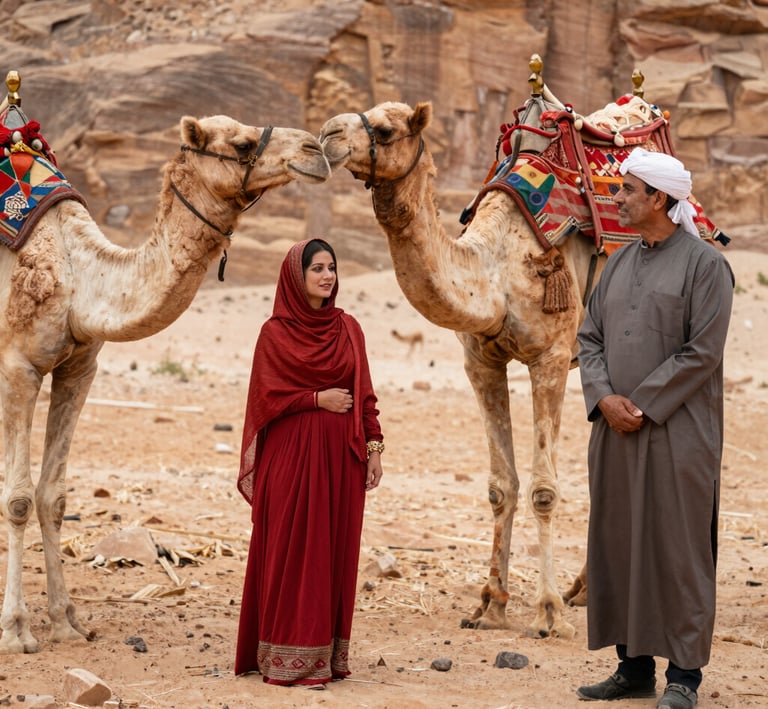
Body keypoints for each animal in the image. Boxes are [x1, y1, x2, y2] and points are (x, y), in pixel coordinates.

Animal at [0, 97, 330, 653]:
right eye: (241, 142)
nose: (317, 150)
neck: (78, 273)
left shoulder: (79, 368)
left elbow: (54, 496)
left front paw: (67, 622)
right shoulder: (17, 367)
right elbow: (20, 499)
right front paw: (16, 631)